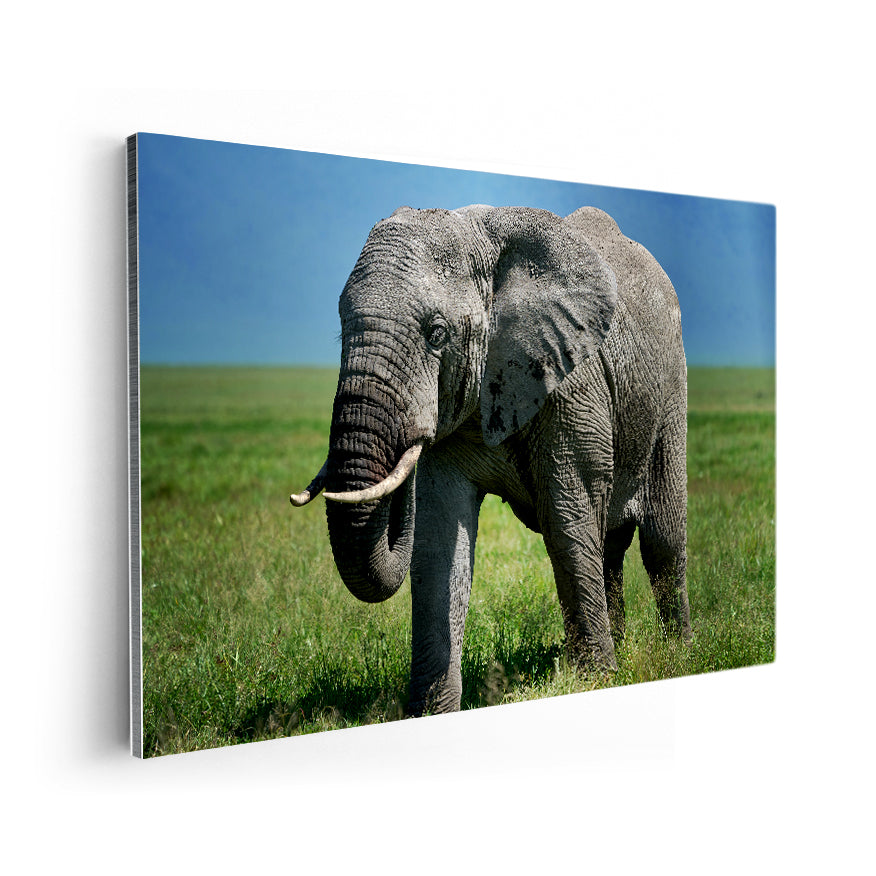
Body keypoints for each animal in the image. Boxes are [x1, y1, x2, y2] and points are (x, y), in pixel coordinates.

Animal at [291, 204, 690, 715]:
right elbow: (439, 542)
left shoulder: (570, 380)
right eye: (341, 329)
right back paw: (623, 646)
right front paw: (431, 711)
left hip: (669, 388)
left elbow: (566, 519)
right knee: (609, 544)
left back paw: (678, 653)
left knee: (661, 539)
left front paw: (595, 682)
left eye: (437, 334)